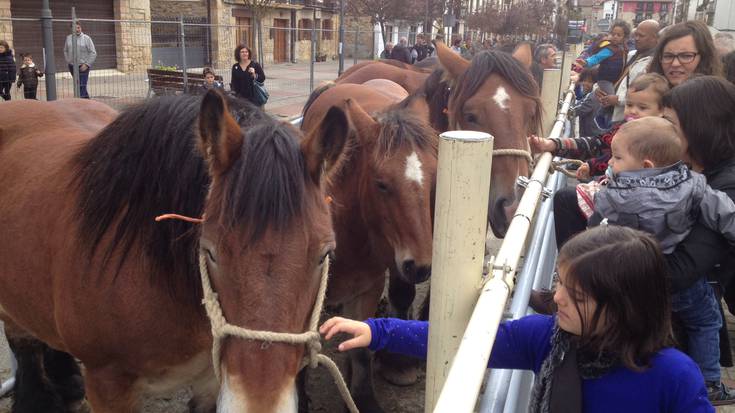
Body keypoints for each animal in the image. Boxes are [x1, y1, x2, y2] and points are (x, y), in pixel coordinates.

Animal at [0, 91, 350, 412]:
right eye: (209, 252)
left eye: (325, 255)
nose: (257, 405)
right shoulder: (107, 384)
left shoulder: (211, 378)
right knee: (23, 343)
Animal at [300, 82, 436, 410]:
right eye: (381, 184)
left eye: (434, 178)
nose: (420, 266)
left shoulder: (366, 290)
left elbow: (360, 347)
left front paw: (362, 396)